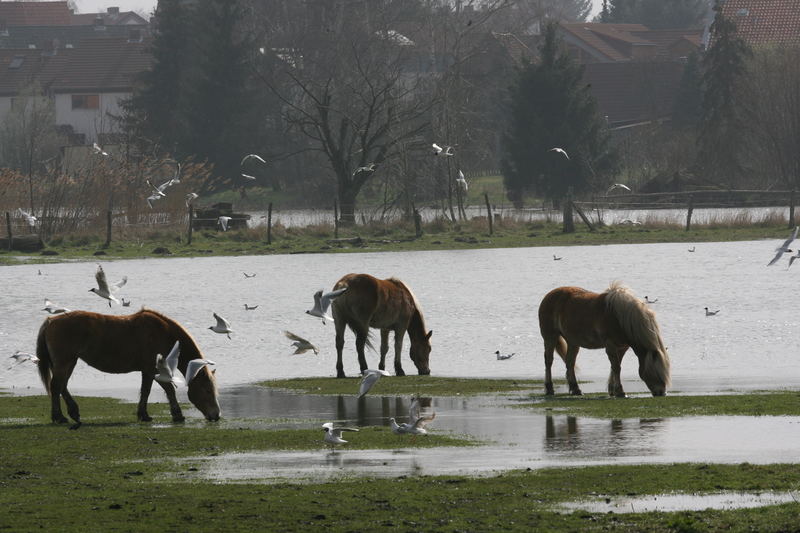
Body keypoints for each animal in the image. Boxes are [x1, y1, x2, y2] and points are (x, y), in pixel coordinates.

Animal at [36, 308, 220, 428]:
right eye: (207, 390)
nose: (217, 415)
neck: (164, 333)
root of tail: (51, 321)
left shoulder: (148, 371)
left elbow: (148, 391)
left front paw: (144, 414)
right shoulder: (152, 370)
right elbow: (165, 390)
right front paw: (176, 414)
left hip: (70, 362)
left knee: (62, 386)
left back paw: (73, 413)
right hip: (64, 362)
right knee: (56, 386)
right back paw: (59, 417)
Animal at [536, 280, 668, 396]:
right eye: (656, 372)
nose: (662, 392)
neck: (619, 318)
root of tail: (549, 295)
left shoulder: (622, 347)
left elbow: (615, 367)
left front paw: (612, 390)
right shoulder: (610, 345)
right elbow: (616, 367)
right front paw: (620, 392)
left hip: (573, 342)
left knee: (570, 362)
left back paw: (576, 389)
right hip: (550, 337)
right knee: (549, 361)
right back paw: (549, 389)